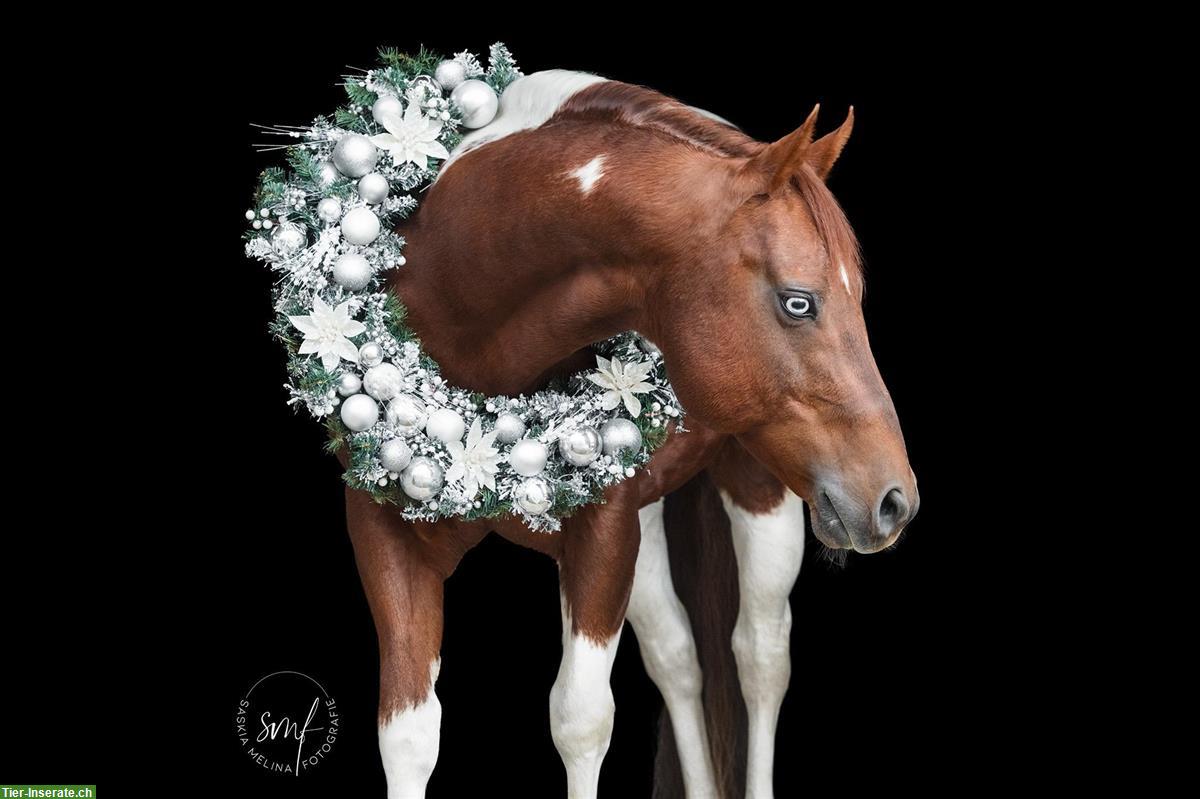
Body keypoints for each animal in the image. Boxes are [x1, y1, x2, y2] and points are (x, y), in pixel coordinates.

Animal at [343, 69, 918, 798]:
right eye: (799, 301)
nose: (895, 499)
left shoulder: (604, 533)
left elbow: (581, 722)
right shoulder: (382, 532)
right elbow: (408, 736)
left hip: (758, 490)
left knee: (759, 657)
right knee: (679, 659)